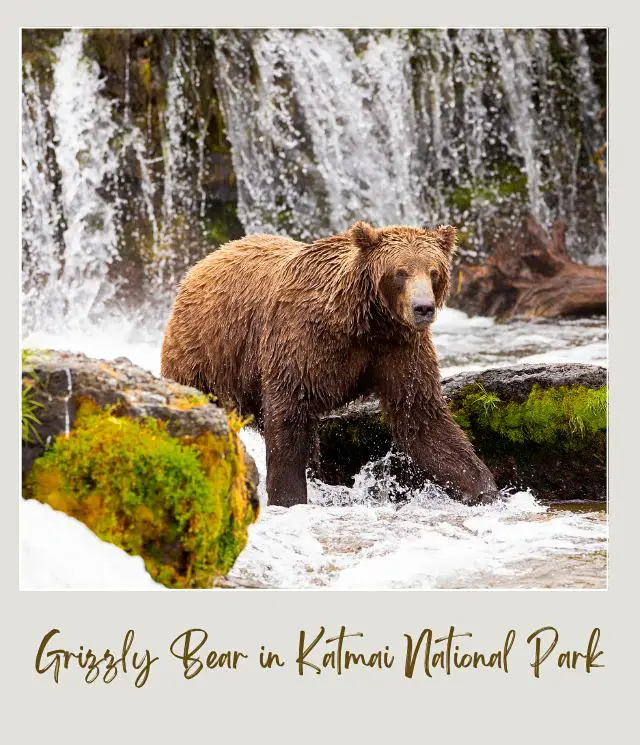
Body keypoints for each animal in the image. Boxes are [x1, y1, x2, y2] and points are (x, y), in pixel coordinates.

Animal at [161, 219, 500, 506]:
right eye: (400, 271)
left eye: (433, 271)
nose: (423, 308)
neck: (365, 322)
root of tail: (205, 261)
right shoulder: (301, 343)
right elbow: (288, 417)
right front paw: (289, 497)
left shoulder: (399, 349)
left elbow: (422, 417)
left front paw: (484, 488)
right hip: (208, 353)